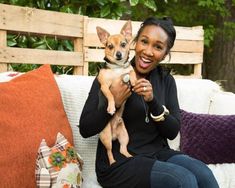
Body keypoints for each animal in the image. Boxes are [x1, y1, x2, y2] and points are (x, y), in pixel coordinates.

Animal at [96, 20, 136, 164]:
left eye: (123, 44)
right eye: (110, 46)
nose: (118, 54)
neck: (118, 68)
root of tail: (114, 135)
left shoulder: (128, 70)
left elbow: (131, 72)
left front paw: (135, 81)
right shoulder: (104, 86)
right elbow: (110, 95)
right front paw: (111, 107)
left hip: (125, 136)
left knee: (122, 149)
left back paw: (130, 156)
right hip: (106, 137)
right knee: (109, 151)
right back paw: (113, 162)